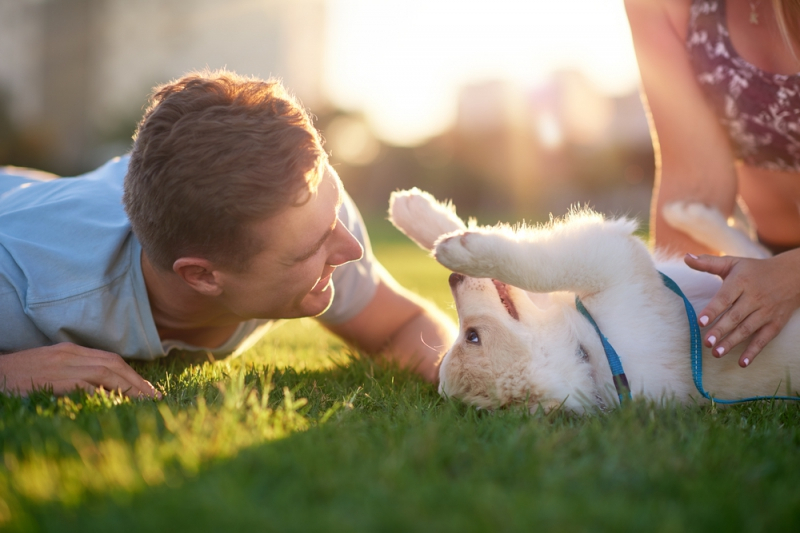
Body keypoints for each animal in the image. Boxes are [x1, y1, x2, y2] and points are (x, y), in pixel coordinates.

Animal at [390, 189, 800, 414]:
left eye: (471, 336)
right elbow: (535, 264)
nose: (452, 279)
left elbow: (526, 262)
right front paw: (452, 244)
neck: (591, 345)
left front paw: (425, 221)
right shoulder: (613, 263)